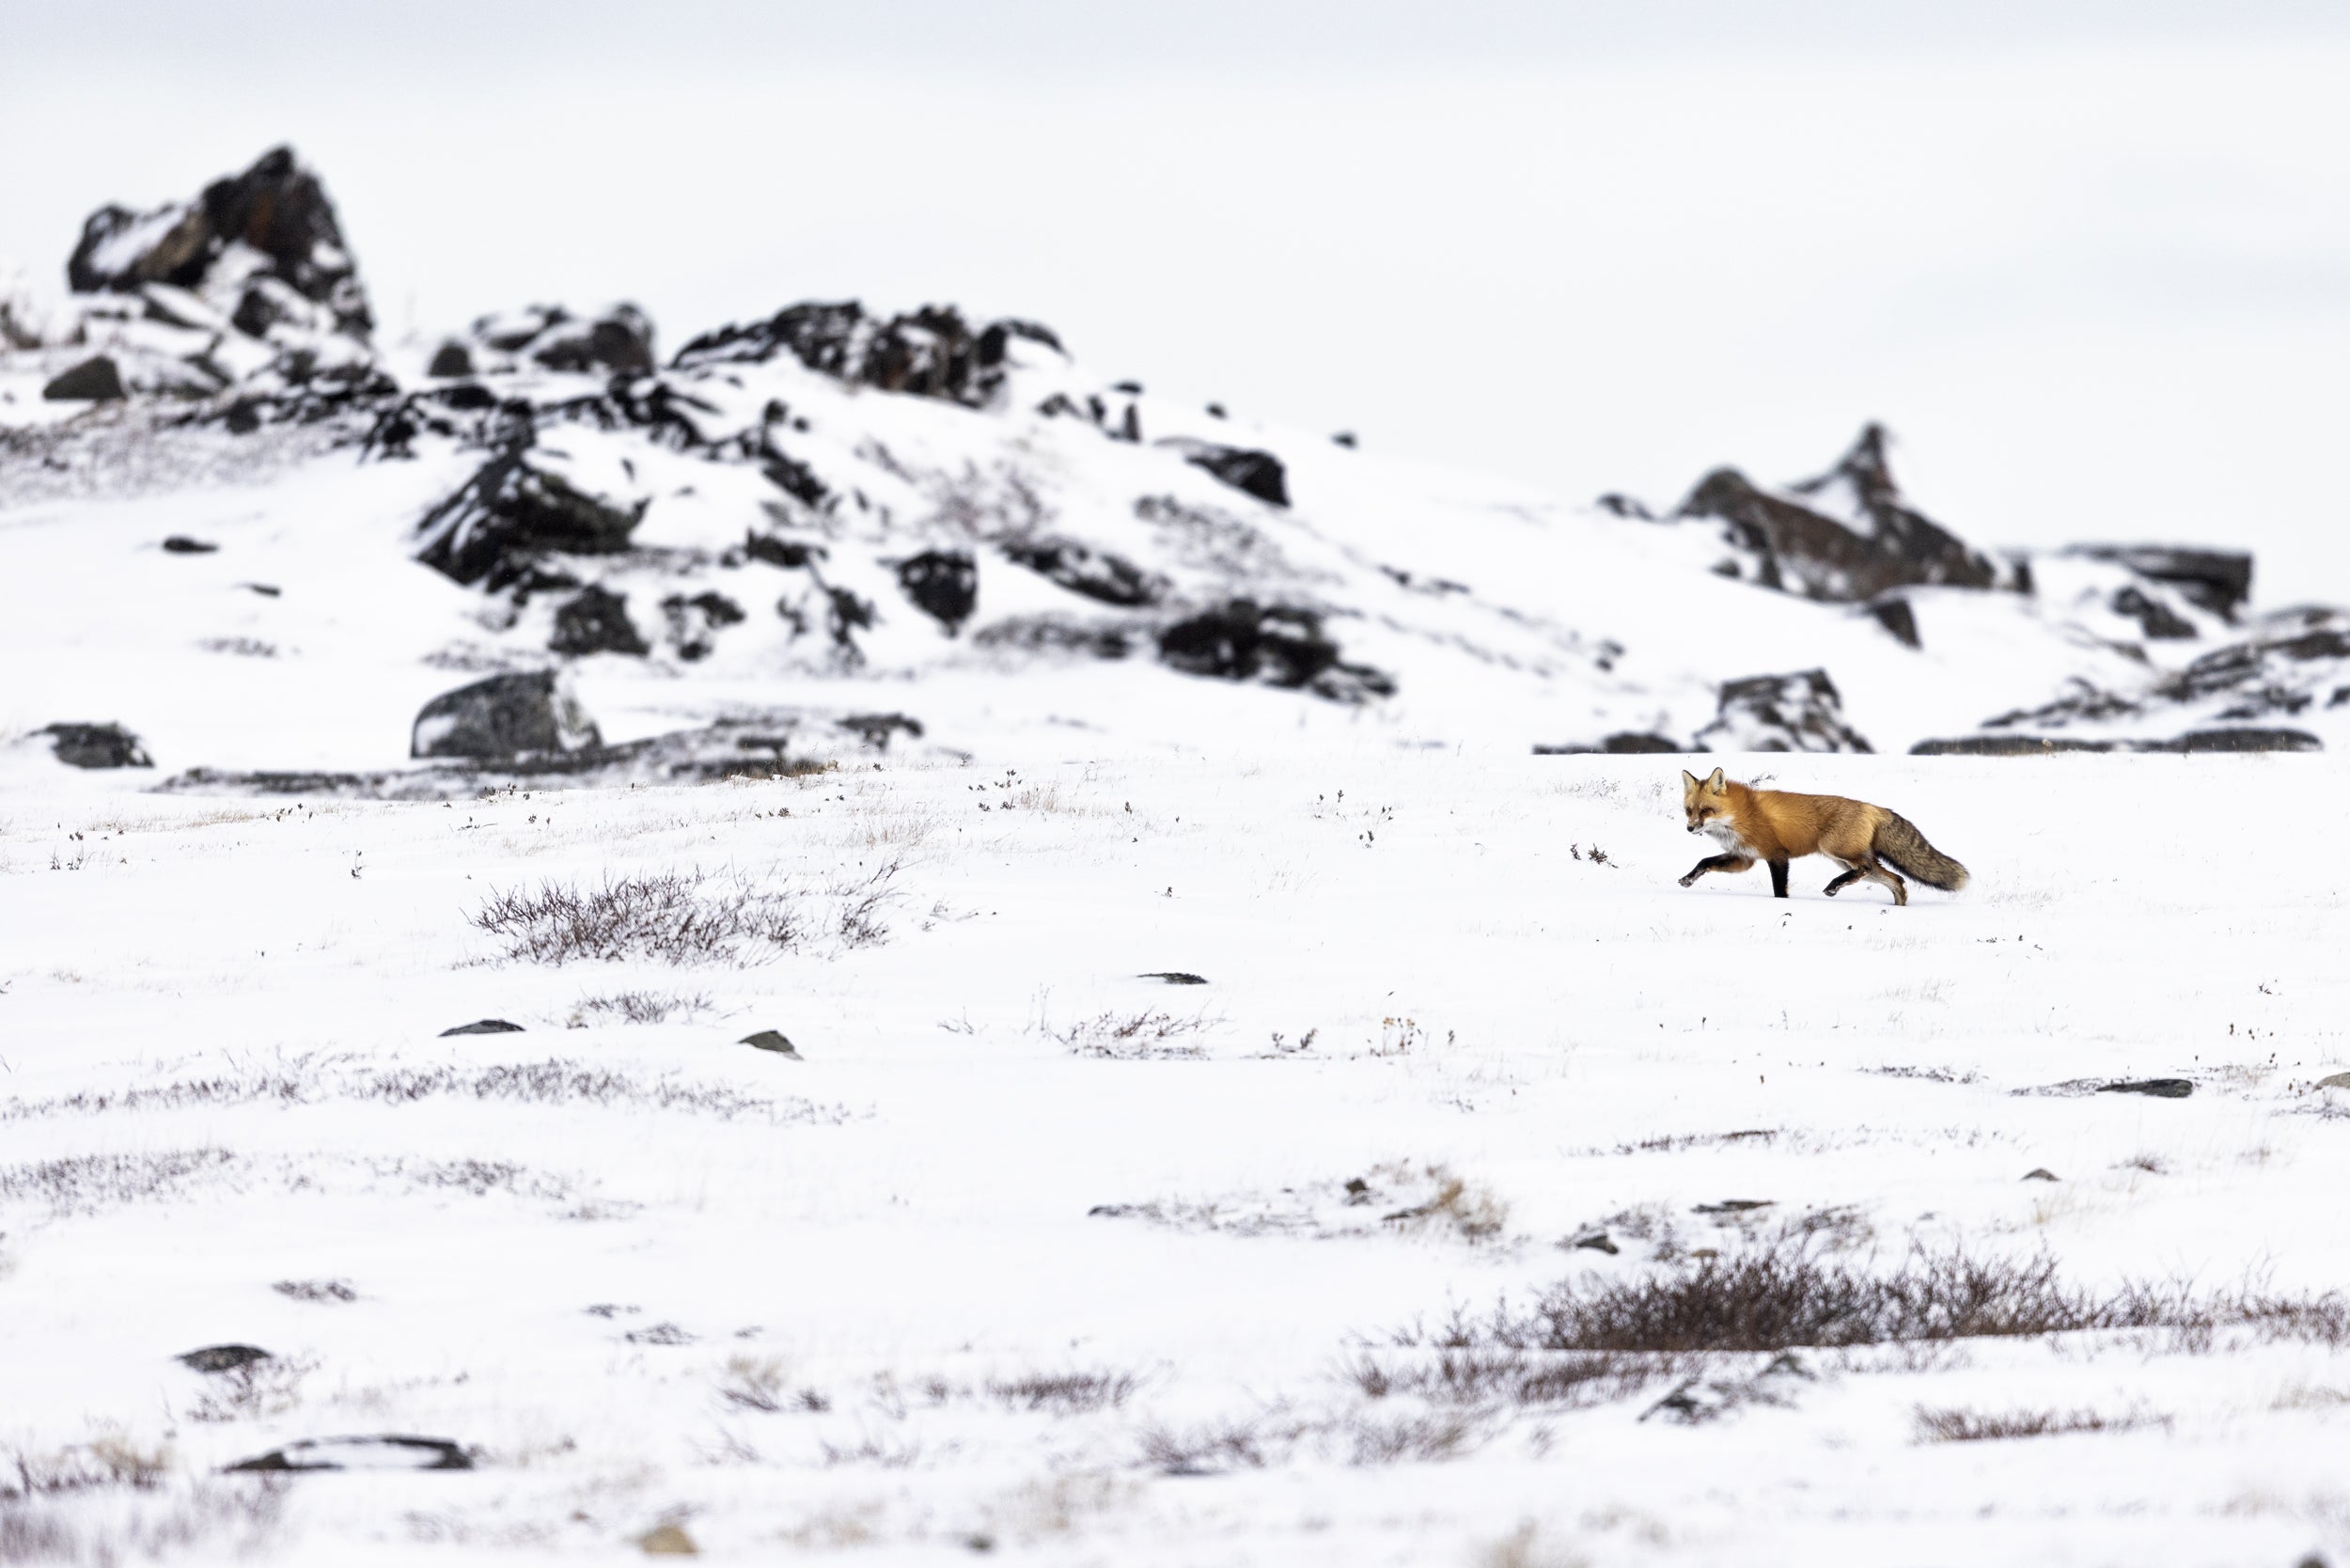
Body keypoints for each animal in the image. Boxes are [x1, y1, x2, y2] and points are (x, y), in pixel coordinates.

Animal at [1677, 767, 1968, 906]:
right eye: (1689, 810)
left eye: (1706, 810)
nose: (1689, 829)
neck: (1739, 815)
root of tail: (1873, 807)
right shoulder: (1743, 858)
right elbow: (1704, 862)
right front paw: (1687, 880)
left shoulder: (1777, 855)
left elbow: (1779, 891)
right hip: (1846, 859)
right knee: (1896, 879)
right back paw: (1899, 907)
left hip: (1837, 851)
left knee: (1867, 868)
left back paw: (1834, 887)